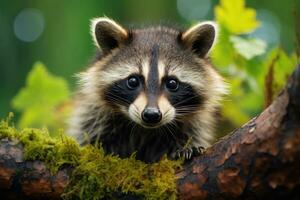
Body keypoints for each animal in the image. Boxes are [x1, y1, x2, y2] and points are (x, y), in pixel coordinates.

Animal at [68, 17, 227, 162]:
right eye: (132, 81)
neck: (145, 130)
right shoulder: (93, 113)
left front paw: (184, 148)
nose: (151, 115)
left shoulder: (194, 124)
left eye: (172, 83)